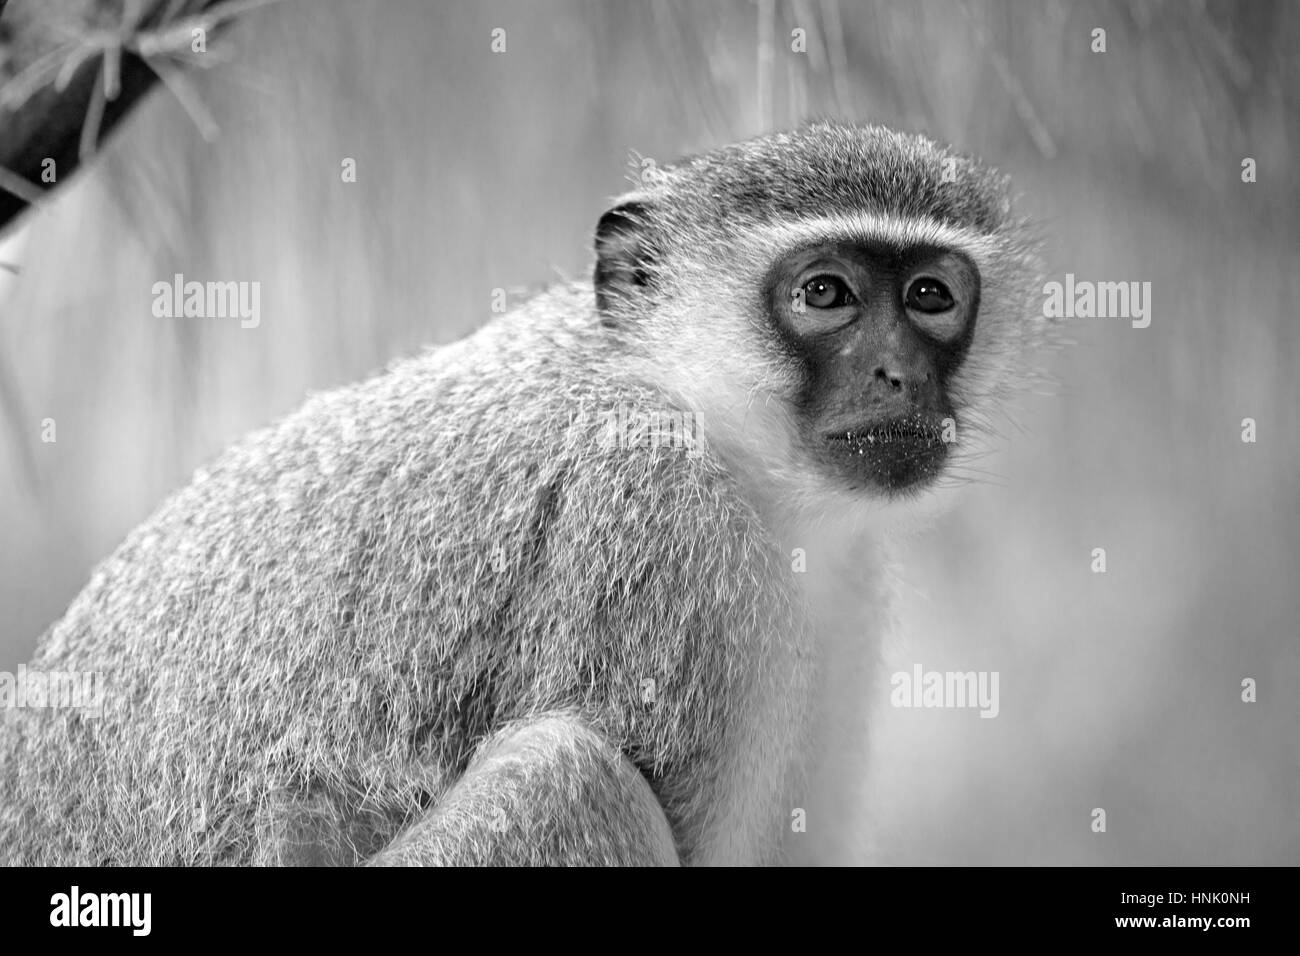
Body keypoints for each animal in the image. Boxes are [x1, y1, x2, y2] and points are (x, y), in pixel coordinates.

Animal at [0, 119, 1034, 868]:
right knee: (567, 777)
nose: (899, 374)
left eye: (931, 297)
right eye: (826, 293)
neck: (697, 415)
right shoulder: (651, 518)